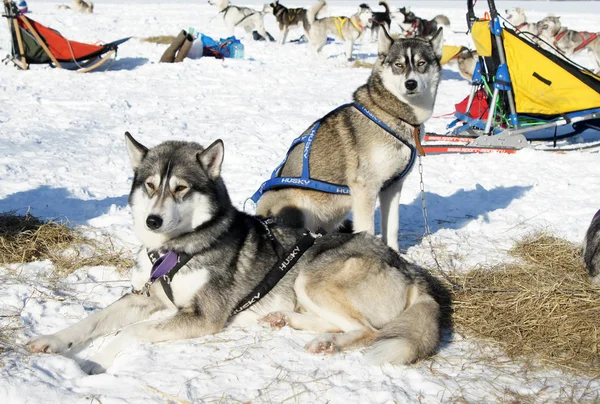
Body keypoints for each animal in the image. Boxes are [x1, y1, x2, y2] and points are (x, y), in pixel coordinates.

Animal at [25, 134, 442, 374]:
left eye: (180, 188)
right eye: (150, 185)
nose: (152, 220)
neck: (176, 250)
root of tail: (410, 269)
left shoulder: (200, 317)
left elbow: (129, 332)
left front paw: (94, 361)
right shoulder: (144, 296)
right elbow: (92, 320)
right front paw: (55, 341)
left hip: (314, 278)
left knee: (368, 331)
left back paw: (327, 343)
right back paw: (286, 320)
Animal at [255, 26, 442, 251]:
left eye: (421, 63)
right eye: (399, 65)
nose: (411, 83)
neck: (391, 114)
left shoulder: (392, 187)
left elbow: (392, 228)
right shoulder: (365, 188)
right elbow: (367, 229)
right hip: (296, 204)